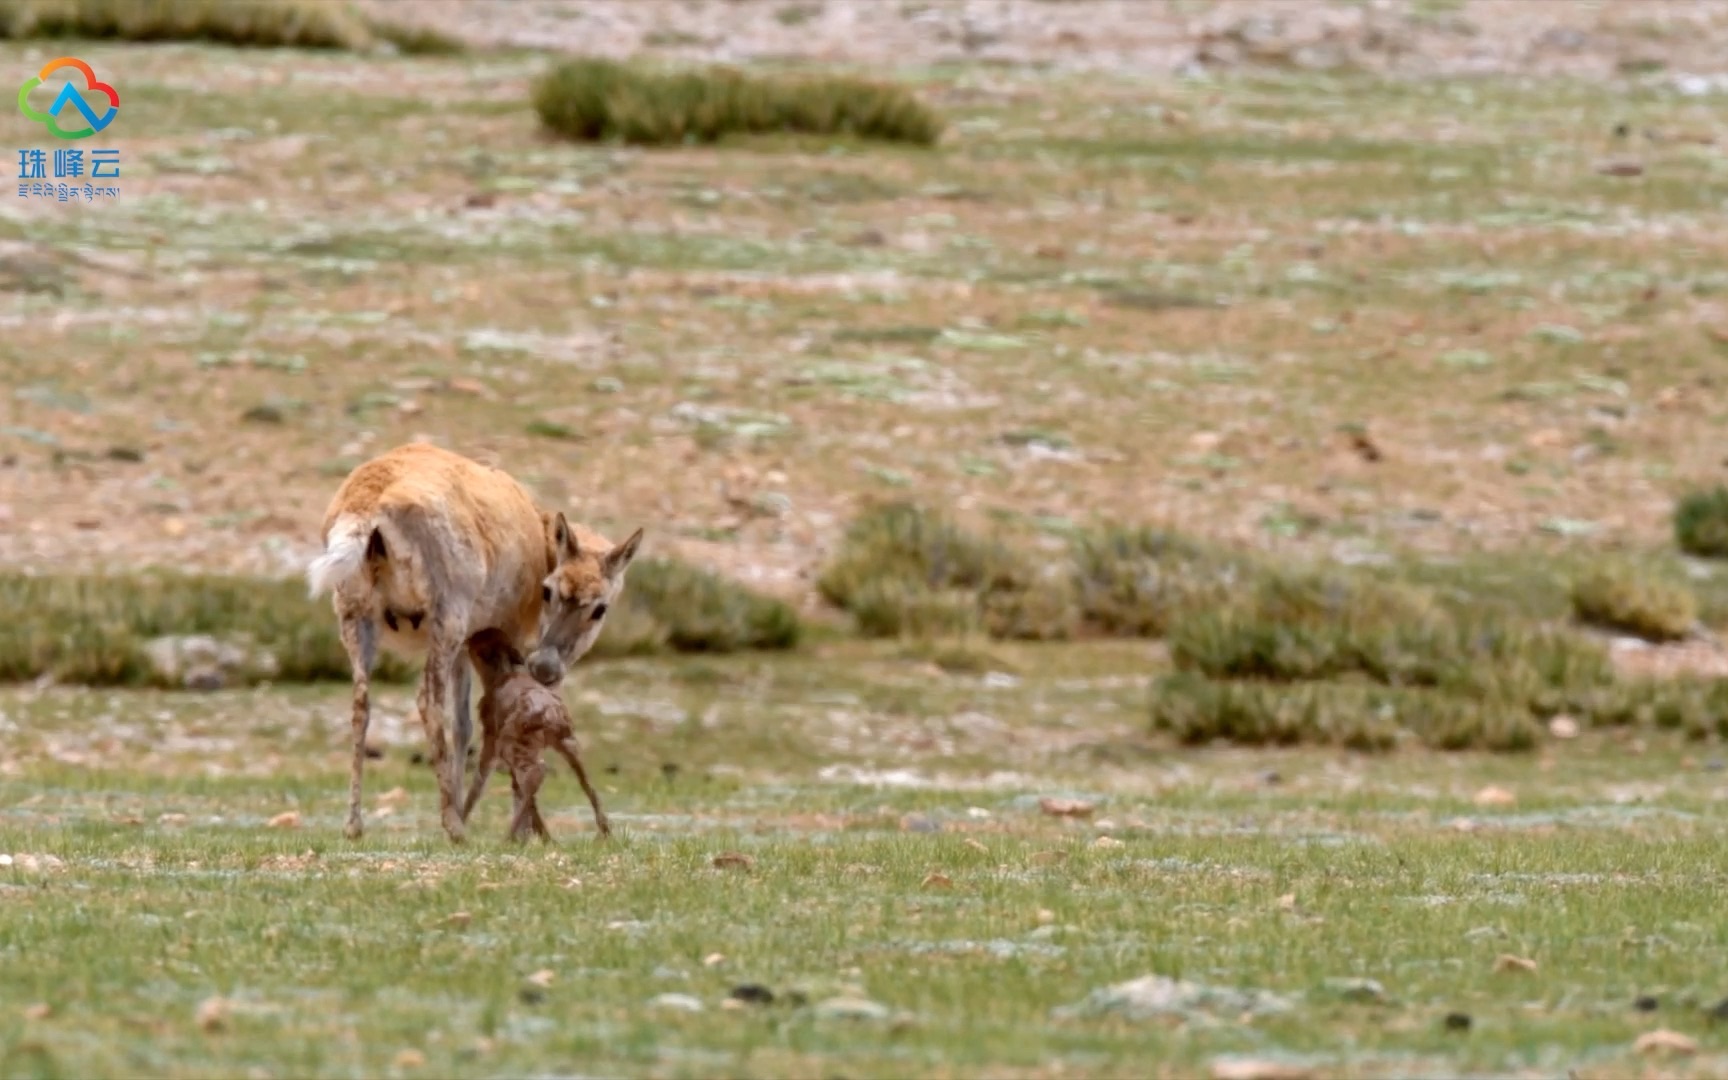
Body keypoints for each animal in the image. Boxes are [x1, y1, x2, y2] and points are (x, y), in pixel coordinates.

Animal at [463, 632, 611, 843]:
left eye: (477, 640)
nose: (466, 639)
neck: (501, 673)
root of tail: (549, 712)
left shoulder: (491, 737)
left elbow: (479, 782)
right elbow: (520, 791)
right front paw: (544, 836)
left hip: (514, 744)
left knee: (537, 772)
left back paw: (508, 837)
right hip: (567, 741)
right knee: (585, 782)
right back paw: (604, 831)